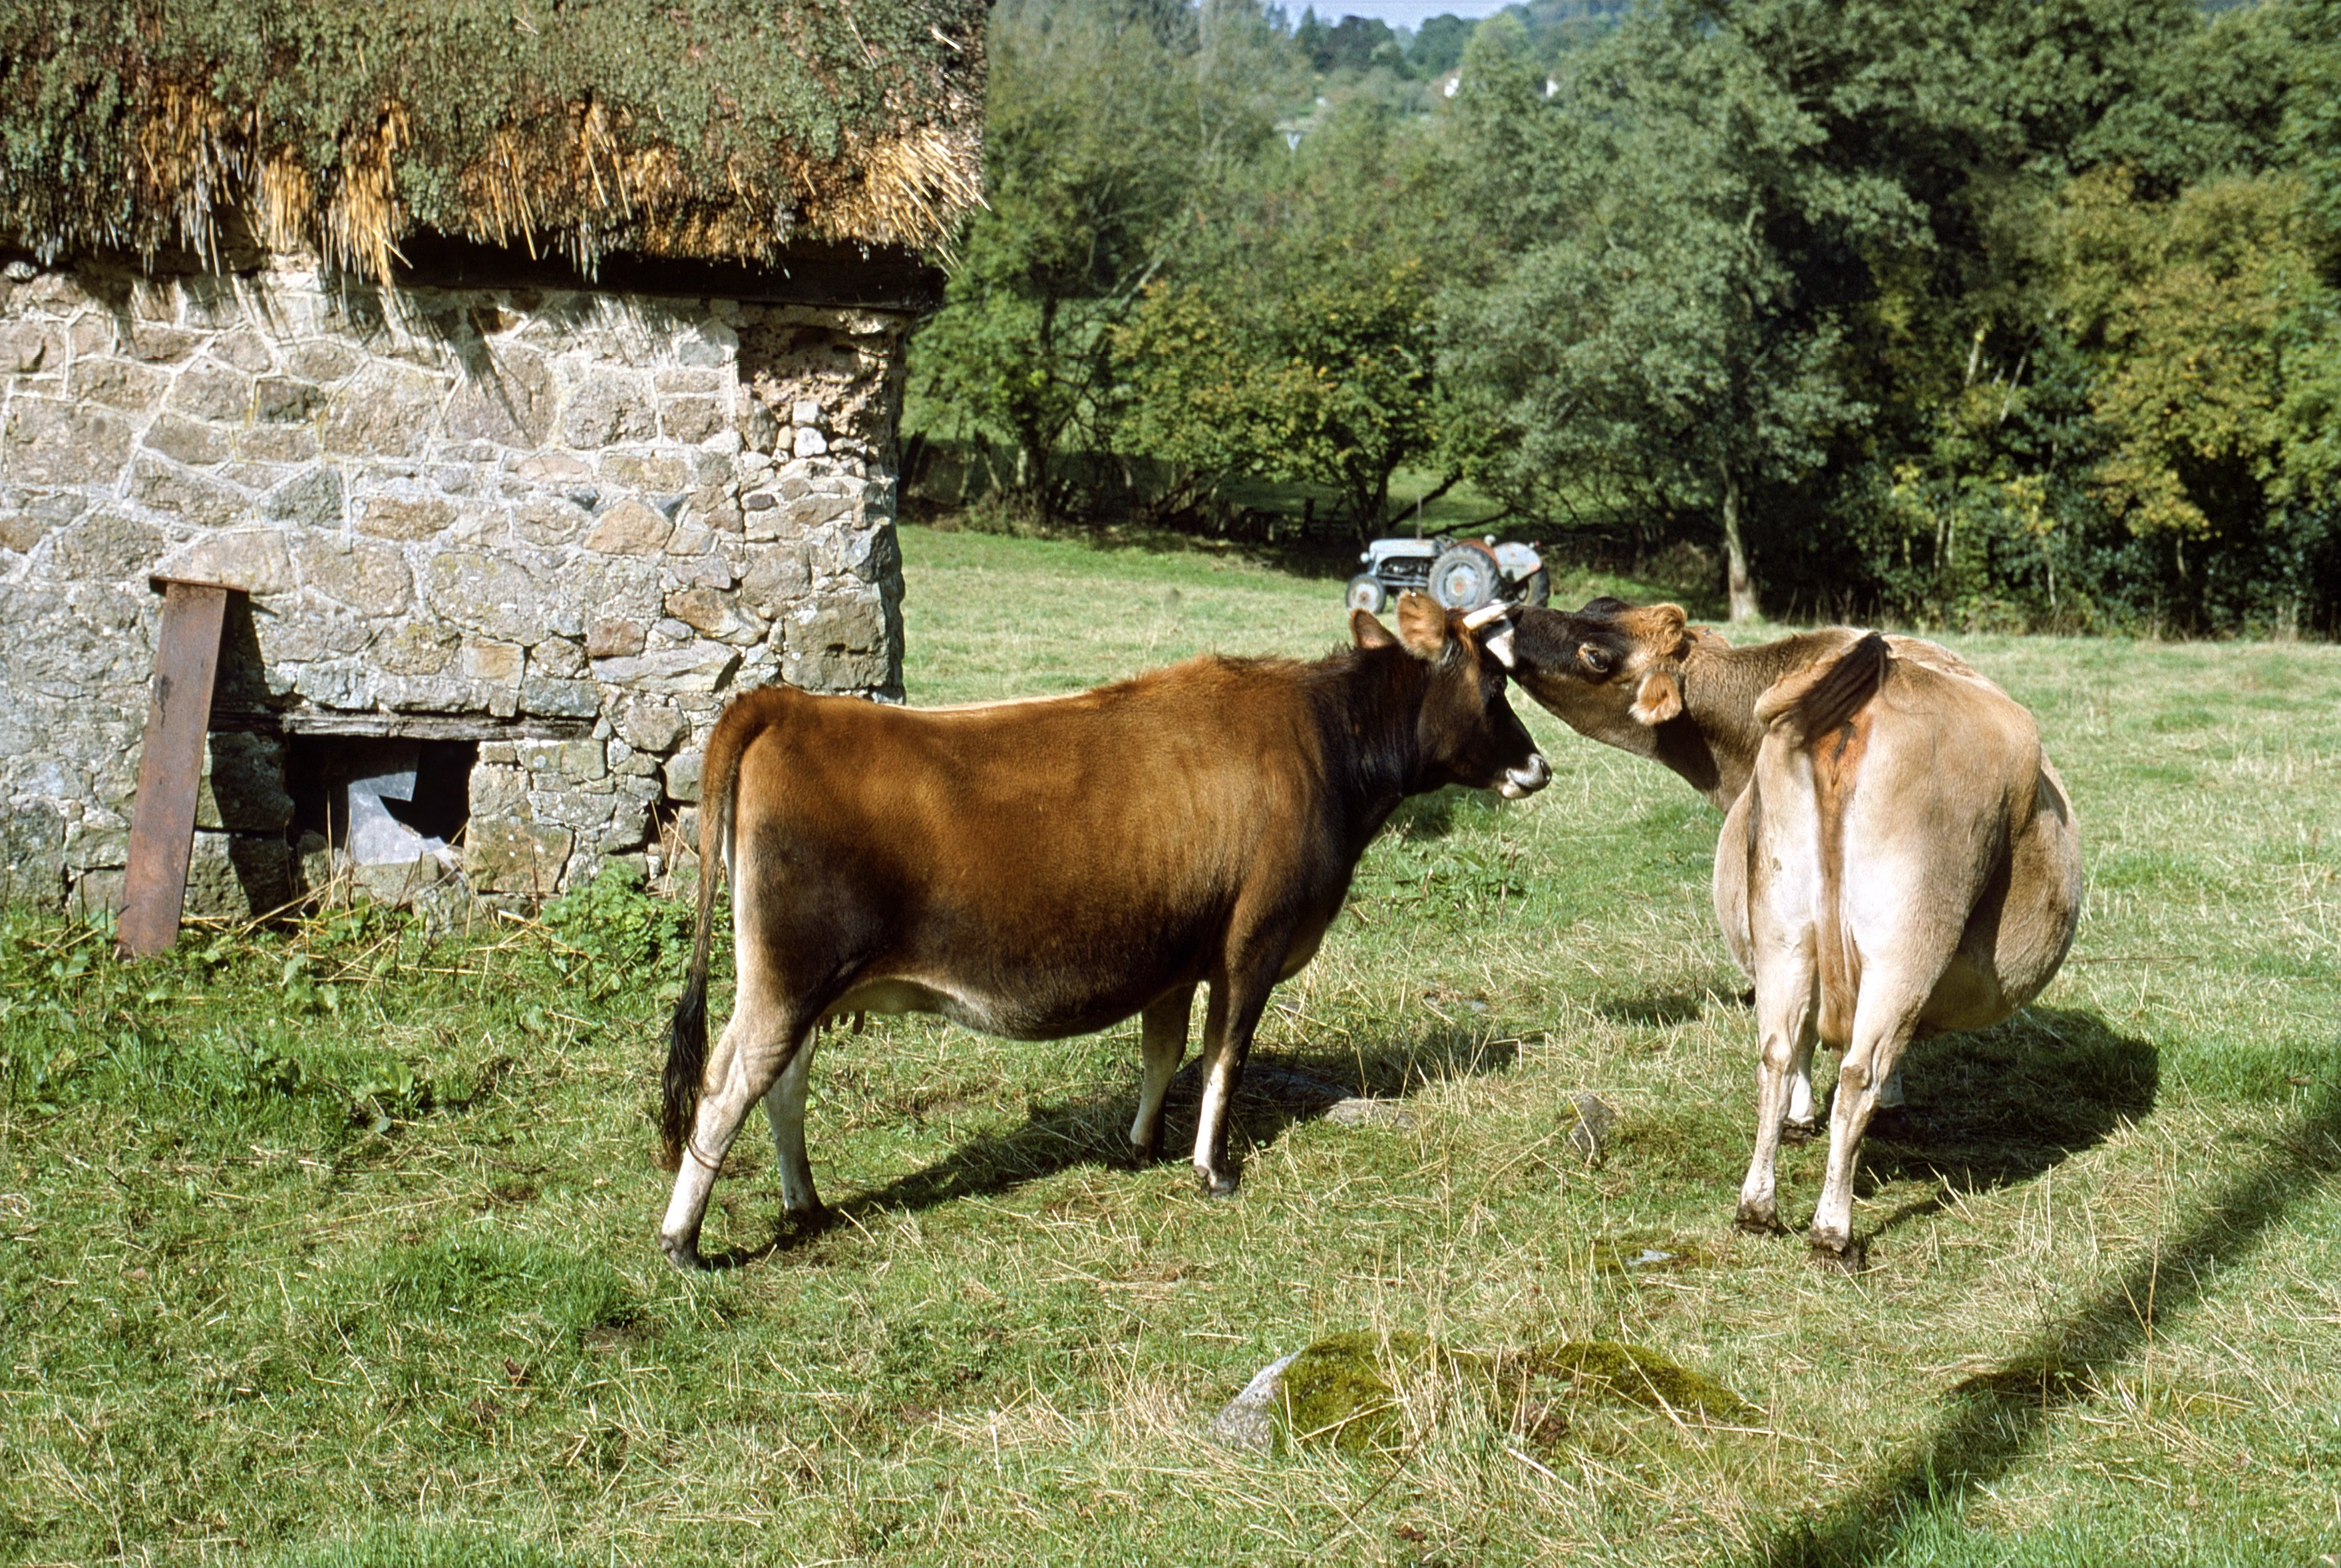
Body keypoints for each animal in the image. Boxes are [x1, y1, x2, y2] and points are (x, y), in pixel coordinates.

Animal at [655, 593, 1552, 1271]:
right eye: (1495, 687)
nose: (1539, 766)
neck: (1323, 744)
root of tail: (788, 704)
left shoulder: (1175, 956)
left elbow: (1162, 1050)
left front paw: (1143, 1142)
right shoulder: (1252, 944)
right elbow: (1223, 1057)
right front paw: (1209, 1169)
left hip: (795, 982)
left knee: (782, 1086)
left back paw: (803, 1202)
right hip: (788, 976)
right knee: (727, 1085)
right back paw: (683, 1240)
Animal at [1492, 598, 2082, 1267]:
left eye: (1597, 648)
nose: (1509, 614)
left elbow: (1795, 1038)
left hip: (1784, 922)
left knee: (1774, 1052)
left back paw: (1757, 1206)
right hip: (1908, 937)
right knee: (1857, 1073)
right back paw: (1833, 1229)